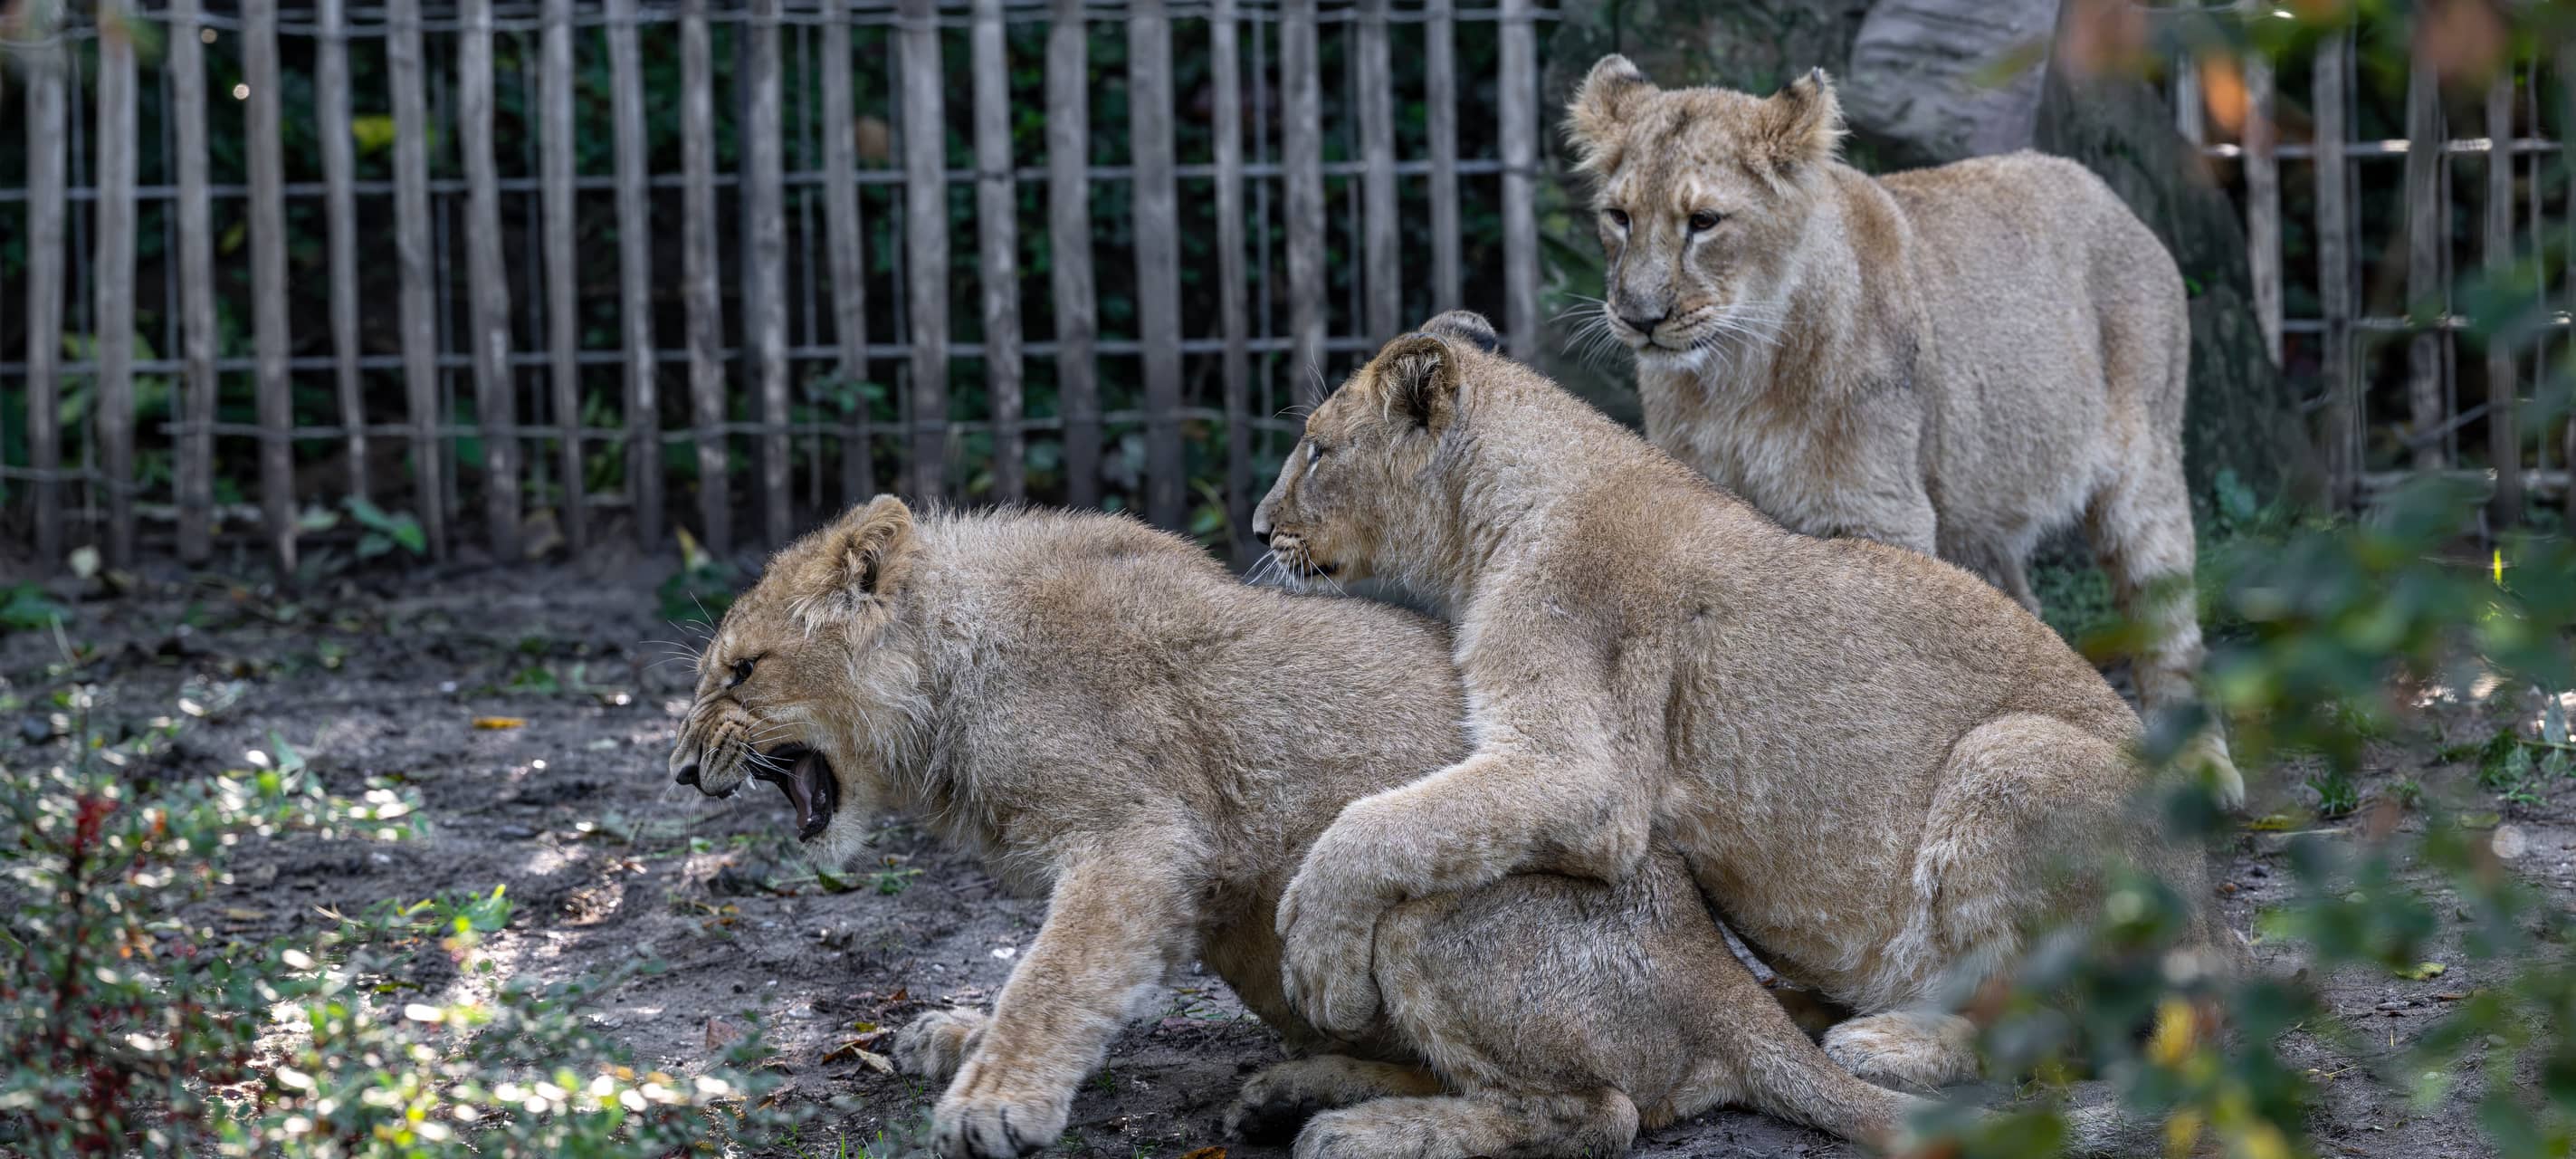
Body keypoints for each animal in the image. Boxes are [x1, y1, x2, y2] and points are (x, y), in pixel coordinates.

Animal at [666, 498, 1925, 1159]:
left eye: (741, 670)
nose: (680, 768)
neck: (950, 671)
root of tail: (1723, 978)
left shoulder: (1138, 837)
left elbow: (1056, 972)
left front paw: (993, 1100)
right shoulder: (1181, 884)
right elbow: (1066, 973)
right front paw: (960, 1036)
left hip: (1421, 904)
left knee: (1599, 1113)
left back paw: (1362, 1130)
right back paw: (1302, 1088)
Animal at [1252, 311, 2241, 1090]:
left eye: (1317, 448)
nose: (1259, 527)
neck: (1487, 520)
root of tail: (2205, 915)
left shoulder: (1583, 776)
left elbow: (1381, 822)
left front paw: (1316, 958)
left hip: (2009, 755)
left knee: (2065, 1031)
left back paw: (1889, 1042)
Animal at [1561, 57, 2243, 809]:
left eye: (1704, 222)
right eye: (1619, 217)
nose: (1639, 317)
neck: (1735, 377)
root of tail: (2106, 194)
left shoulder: (1878, 516)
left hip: (2145, 472)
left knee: (2168, 629)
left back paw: (2201, 771)